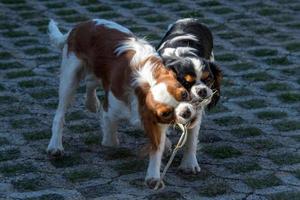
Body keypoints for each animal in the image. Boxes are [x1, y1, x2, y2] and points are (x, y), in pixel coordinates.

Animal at [47, 18, 197, 188]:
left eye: (184, 93)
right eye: (166, 113)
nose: (186, 112)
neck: (146, 83)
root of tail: (82, 24)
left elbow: (157, 145)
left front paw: (153, 175)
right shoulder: (112, 110)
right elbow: (111, 139)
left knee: (91, 81)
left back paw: (91, 102)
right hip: (70, 76)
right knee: (60, 114)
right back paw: (55, 145)